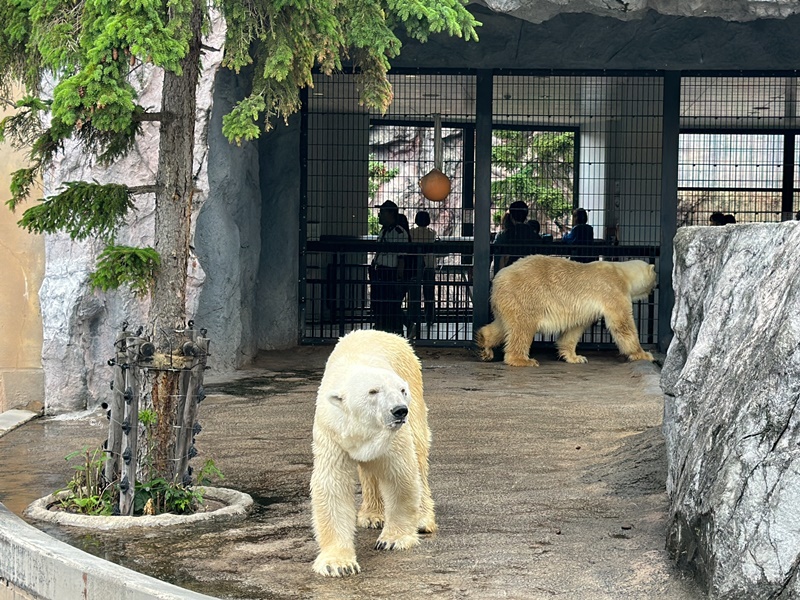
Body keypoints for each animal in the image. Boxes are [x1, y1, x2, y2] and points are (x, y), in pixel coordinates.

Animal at [310, 328, 438, 576]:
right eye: (373, 391)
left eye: (401, 390)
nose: (399, 410)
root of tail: (385, 332)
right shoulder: (332, 431)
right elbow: (333, 484)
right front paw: (337, 564)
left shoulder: (393, 436)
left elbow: (400, 474)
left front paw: (393, 540)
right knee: (369, 469)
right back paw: (372, 515)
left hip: (414, 385)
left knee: (419, 453)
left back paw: (422, 518)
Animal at [476, 254, 656, 366]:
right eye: (655, 276)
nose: (656, 285)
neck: (622, 272)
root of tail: (498, 279)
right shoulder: (612, 290)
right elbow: (623, 324)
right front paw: (645, 354)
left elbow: (574, 329)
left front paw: (576, 357)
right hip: (526, 296)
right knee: (523, 328)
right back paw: (523, 360)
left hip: (509, 302)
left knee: (503, 326)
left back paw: (485, 344)